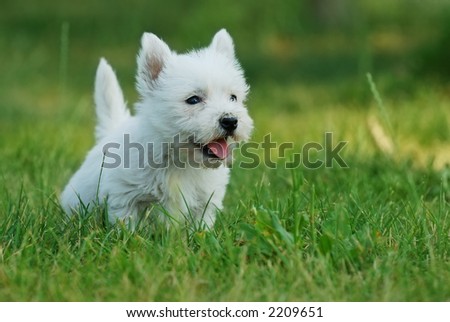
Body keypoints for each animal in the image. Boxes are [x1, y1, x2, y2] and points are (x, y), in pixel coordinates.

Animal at [60, 28, 253, 228]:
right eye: (193, 100)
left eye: (233, 97)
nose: (230, 120)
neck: (180, 162)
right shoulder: (124, 196)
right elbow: (128, 225)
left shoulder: (206, 202)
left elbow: (201, 226)